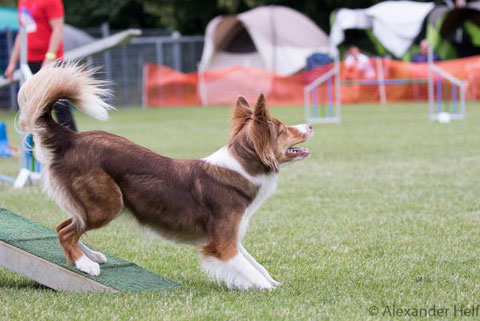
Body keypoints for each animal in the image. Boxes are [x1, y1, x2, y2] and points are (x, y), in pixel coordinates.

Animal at [16, 63, 314, 290]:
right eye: (282, 129)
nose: (311, 125)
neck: (241, 167)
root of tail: (72, 137)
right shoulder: (222, 244)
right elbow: (249, 270)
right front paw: (269, 289)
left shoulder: (232, 237)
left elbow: (257, 265)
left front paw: (273, 282)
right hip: (108, 203)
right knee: (66, 231)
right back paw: (86, 264)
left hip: (94, 203)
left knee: (65, 224)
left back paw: (93, 256)